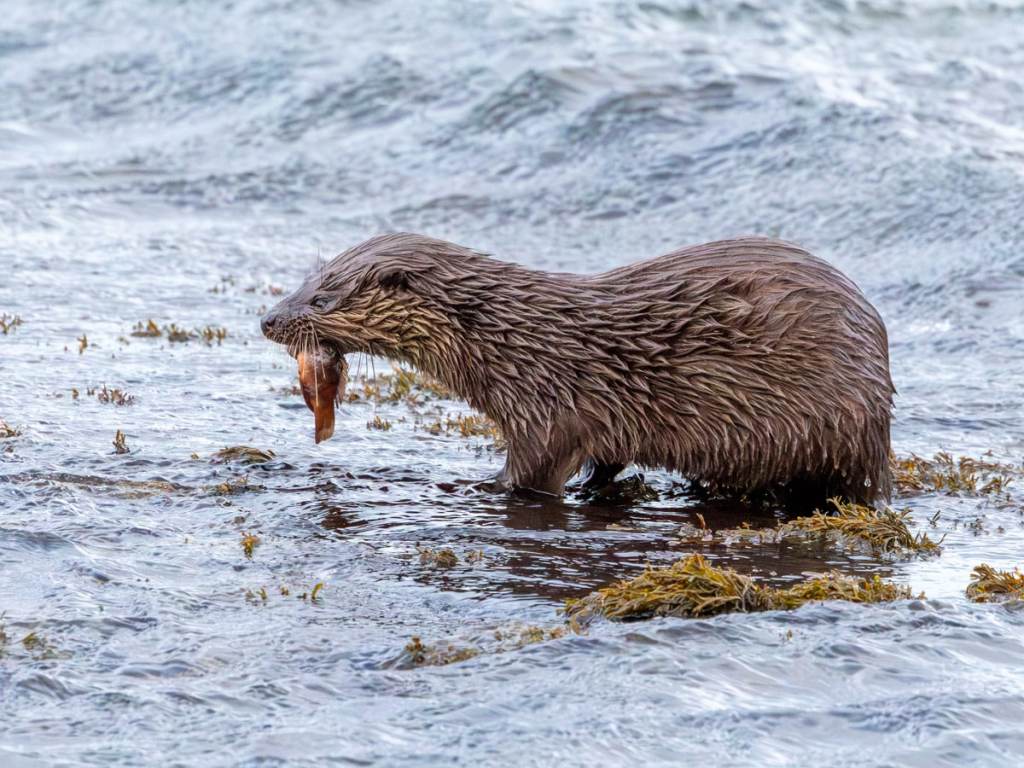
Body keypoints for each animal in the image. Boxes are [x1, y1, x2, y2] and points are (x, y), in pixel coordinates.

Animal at [262, 234, 894, 505]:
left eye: (322, 299)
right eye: (304, 281)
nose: (269, 319)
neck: (513, 342)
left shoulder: (546, 413)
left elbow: (529, 477)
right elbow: (604, 460)